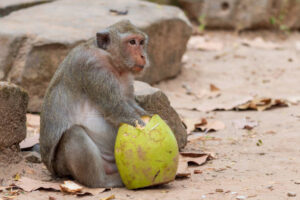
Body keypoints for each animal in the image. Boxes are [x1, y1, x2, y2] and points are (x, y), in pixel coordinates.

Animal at [39, 20, 150, 188]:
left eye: (142, 42)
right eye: (132, 42)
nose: (143, 55)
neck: (111, 60)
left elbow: (130, 104)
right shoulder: (93, 67)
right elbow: (116, 109)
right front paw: (145, 126)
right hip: (61, 166)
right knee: (74, 133)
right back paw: (103, 181)